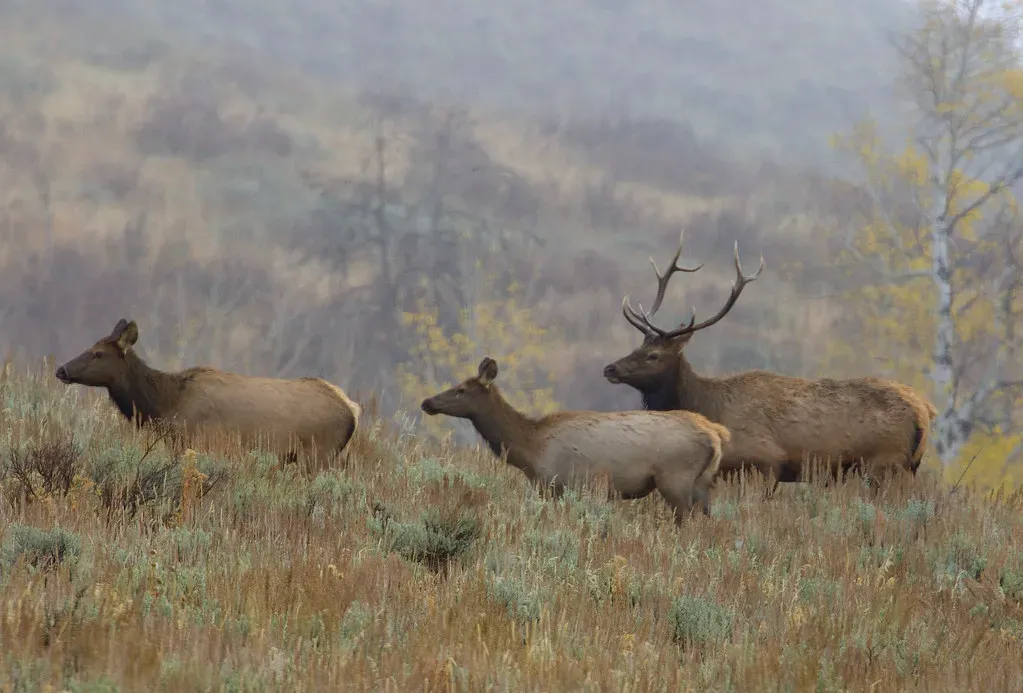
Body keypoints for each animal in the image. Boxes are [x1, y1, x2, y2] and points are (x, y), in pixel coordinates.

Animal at [54, 318, 361, 469]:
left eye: (98, 353)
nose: (61, 369)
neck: (165, 406)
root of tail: (353, 410)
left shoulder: (199, 441)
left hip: (319, 454)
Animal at [420, 356, 732, 523]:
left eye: (461, 390)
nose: (427, 402)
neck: (530, 448)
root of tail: (715, 434)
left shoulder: (561, 484)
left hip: (675, 478)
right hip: (701, 483)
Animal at [602, 229, 938, 491]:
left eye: (653, 355)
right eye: (638, 345)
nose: (610, 368)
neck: (708, 405)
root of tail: (924, 410)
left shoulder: (765, 460)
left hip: (885, 463)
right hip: (906, 466)